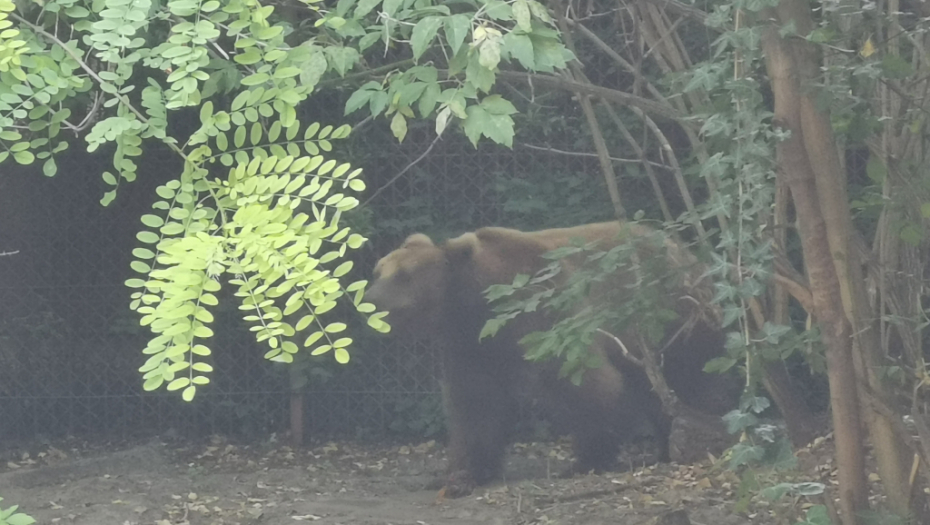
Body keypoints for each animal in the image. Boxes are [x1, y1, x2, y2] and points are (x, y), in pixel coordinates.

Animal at [362, 220, 732, 496]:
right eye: (378, 270)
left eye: (404, 275)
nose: (370, 300)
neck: (478, 304)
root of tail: (685, 250)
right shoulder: (473, 346)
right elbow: (476, 406)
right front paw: (460, 474)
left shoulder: (547, 314)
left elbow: (585, 383)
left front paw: (586, 459)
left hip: (673, 316)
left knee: (695, 374)